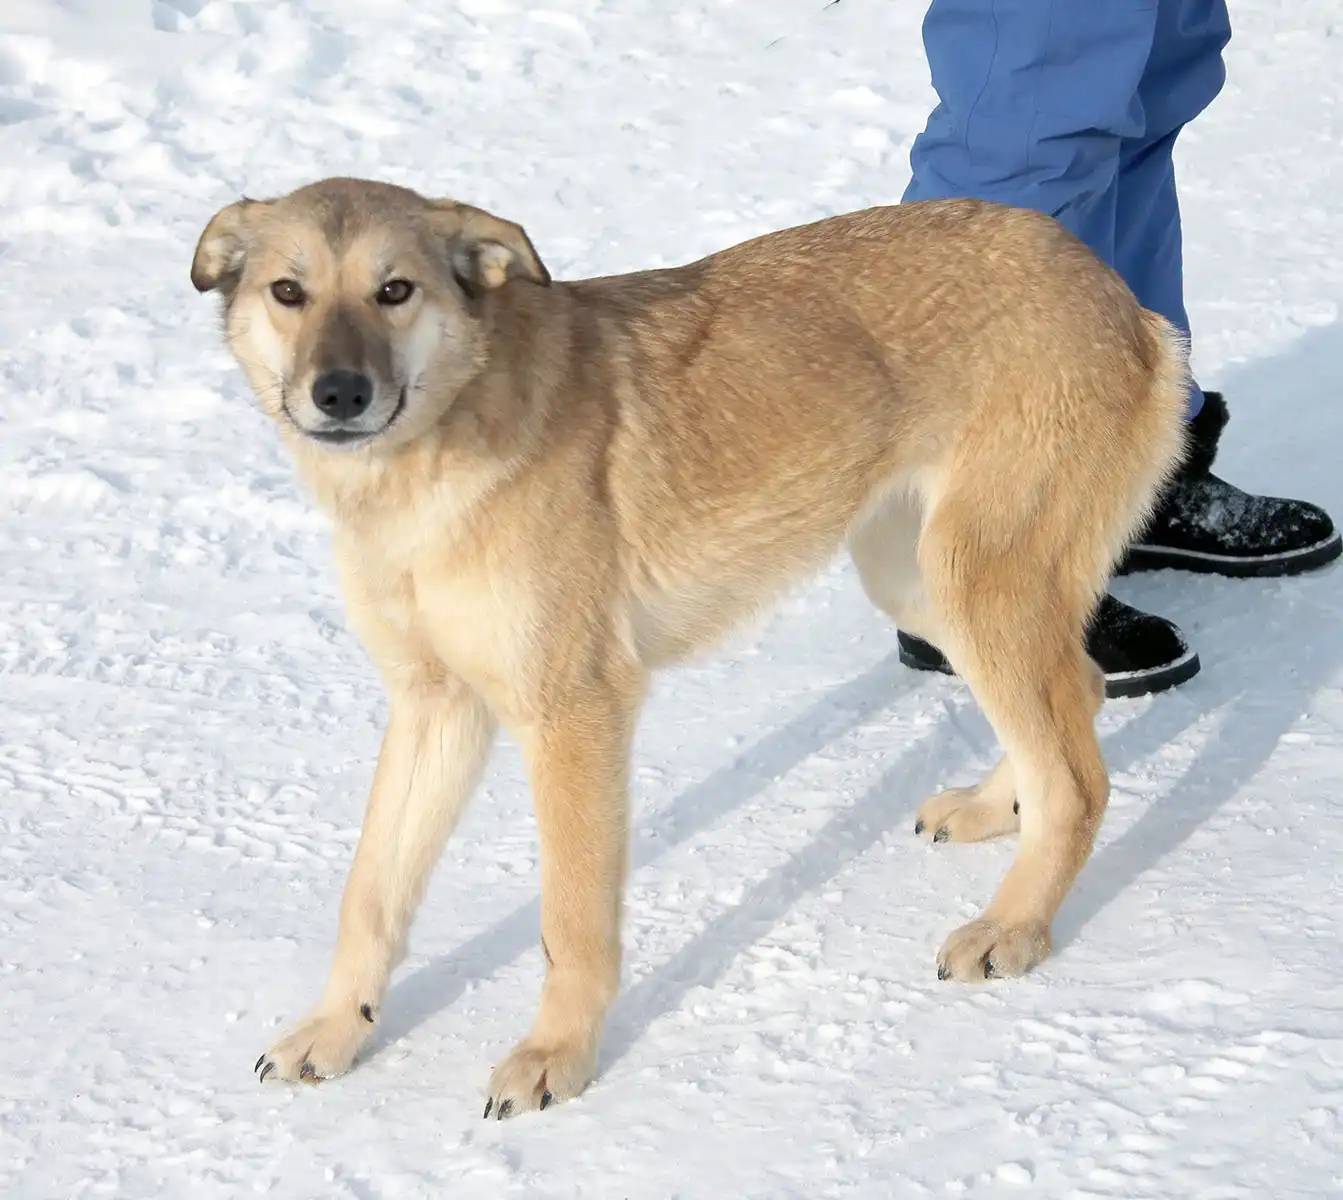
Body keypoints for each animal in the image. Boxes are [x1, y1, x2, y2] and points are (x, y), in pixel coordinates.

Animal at [191, 177, 1189, 1118]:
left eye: (393, 289)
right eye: (288, 291)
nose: (339, 394)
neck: (431, 460)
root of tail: (1113, 293)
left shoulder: (575, 714)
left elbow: (571, 921)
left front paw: (556, 1056)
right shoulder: (435, 707)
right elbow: (370, 893)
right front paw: (336, 1029)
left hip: (971, 576)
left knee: (1077, 780)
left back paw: (1012, 927)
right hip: (916, 579)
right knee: (1077, 694)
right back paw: (992, 811)